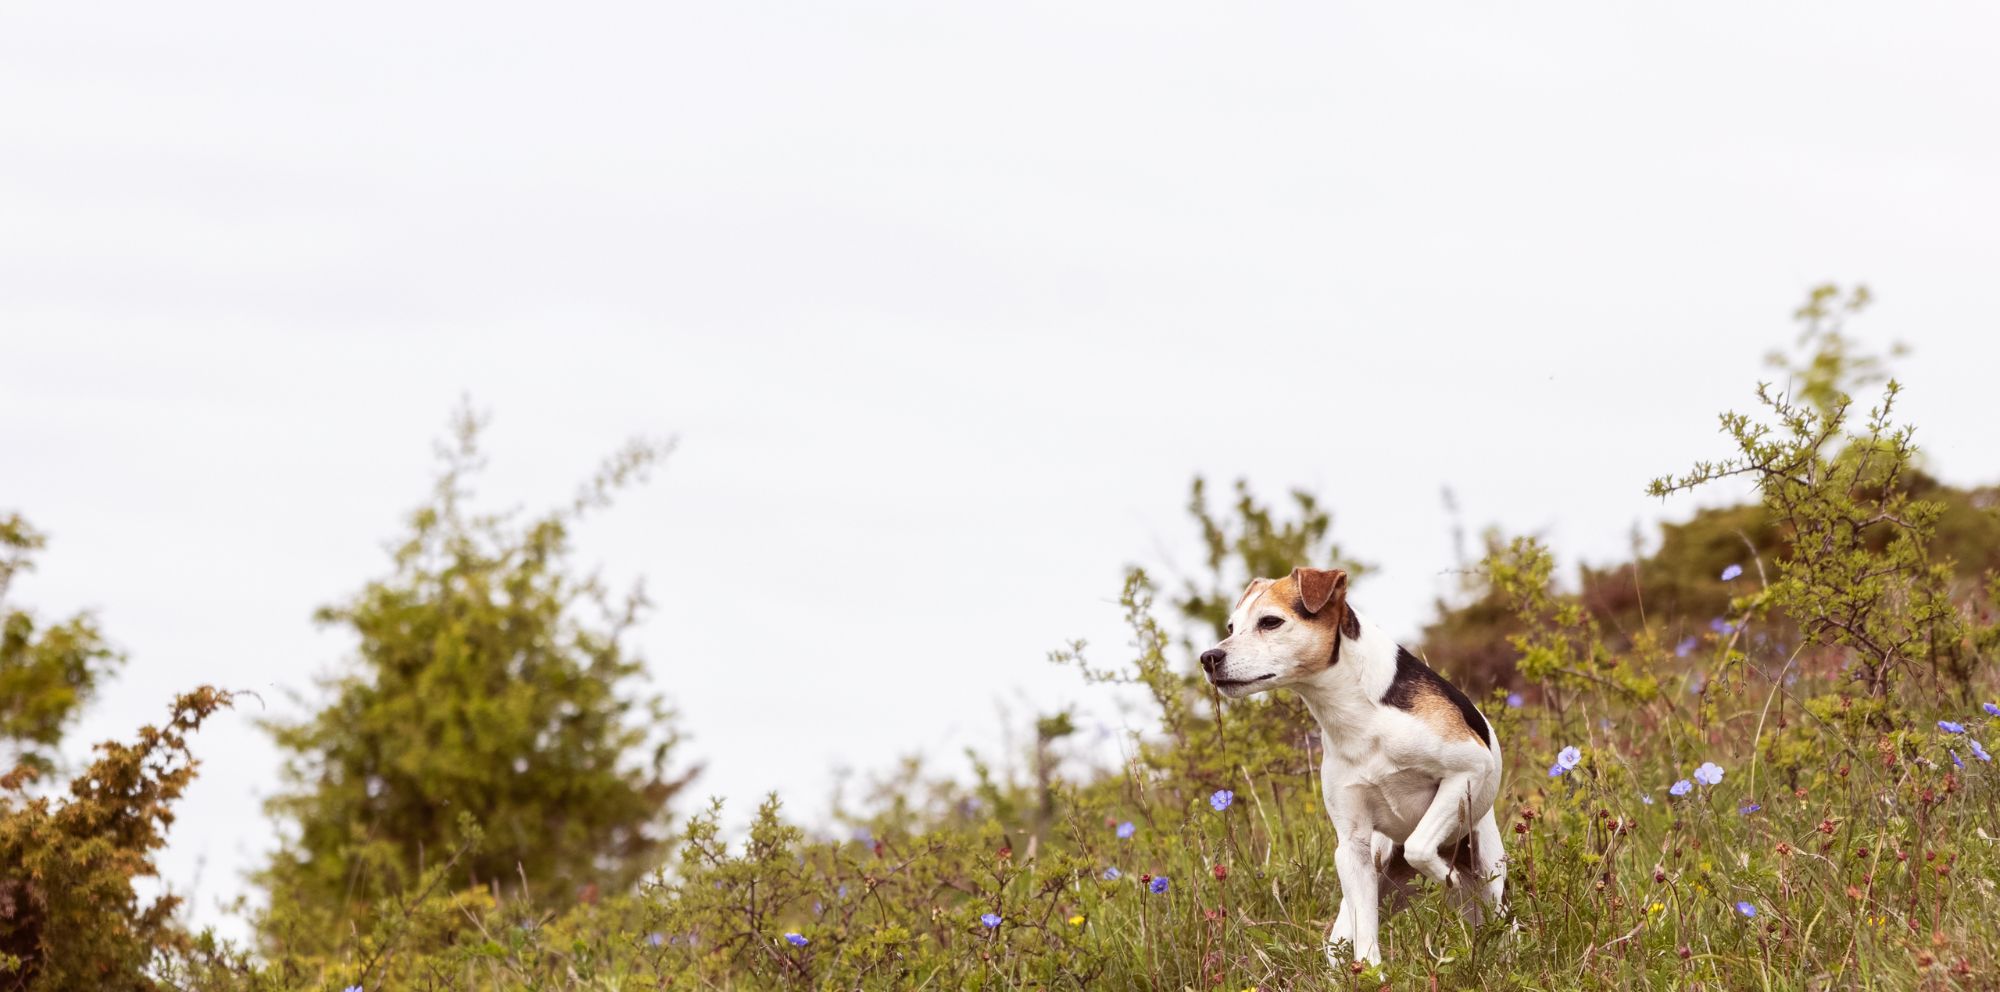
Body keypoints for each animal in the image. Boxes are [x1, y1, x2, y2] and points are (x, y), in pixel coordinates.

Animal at [1200, 568, 1504, 964]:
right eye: (1231, 626)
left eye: (1270, 622)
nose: (1208, 657)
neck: (1358, 716)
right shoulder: (1352, 846)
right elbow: (1367, 942)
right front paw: (1373, 970)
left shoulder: (1468, 770)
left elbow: (1419, 845)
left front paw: (1446, 875)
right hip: (1363, 893)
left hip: (1493, 881)